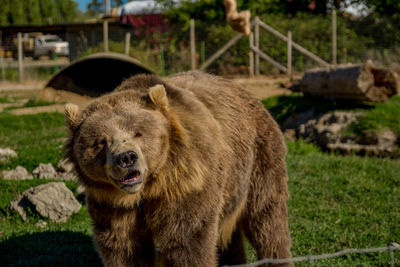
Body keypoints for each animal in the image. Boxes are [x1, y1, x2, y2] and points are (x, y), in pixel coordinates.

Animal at [64, 71, 292, 267]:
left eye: (138, 132)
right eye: (100, 141)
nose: (127, 158)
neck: (149, 188)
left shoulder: (186, 183)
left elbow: (187, 240)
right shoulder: (112, 205)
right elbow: (125, 247)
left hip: (259, 158)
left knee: (267, 219)